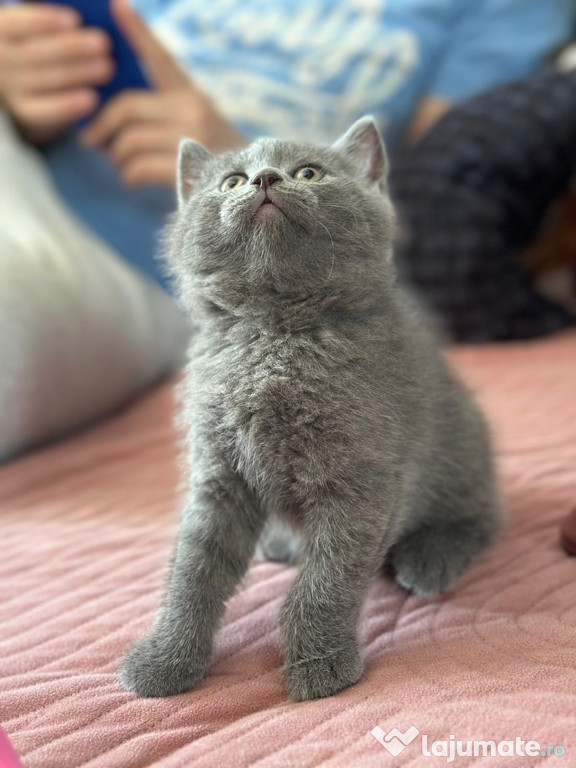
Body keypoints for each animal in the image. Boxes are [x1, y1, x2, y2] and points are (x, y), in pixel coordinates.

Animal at [120, 115, 500, 704]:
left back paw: (430, 557)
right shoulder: (219, 475)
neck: (274, 335)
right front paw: (165, 660)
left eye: (309, 173)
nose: (265, 179)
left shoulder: (361, 479)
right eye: (232, 181)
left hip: (464, 450)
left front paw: (321, 664)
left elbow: (326, 580)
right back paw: (280, 541)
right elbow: (193, 570)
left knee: (480, 517)